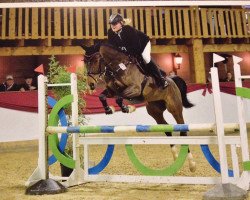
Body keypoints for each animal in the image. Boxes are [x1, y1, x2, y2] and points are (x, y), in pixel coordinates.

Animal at [81, 43, 195, 172]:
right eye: (85, 61)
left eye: (95, 60)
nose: (90, 84)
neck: (118, 67)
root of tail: (172, 80)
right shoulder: (112, 91)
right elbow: (102, 96)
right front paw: (110, 109)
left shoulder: (135, 89)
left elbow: (119, 97)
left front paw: (127, 108)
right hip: (155, 111)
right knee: (167, 129)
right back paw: (176, 159)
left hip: (174, 108)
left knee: (182, 129)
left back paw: (192, 164)